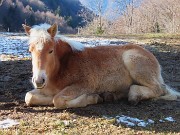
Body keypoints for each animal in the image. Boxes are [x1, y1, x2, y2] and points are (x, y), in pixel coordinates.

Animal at [22, 23, 180, 109]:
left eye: (50, 50)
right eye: (30, 50)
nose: (38, 80)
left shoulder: (84, 84)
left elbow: (58, 99)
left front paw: (92, 98)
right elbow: (29, 97)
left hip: (133, 61)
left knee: (159, 89)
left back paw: (133, 96)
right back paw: (112, 95)